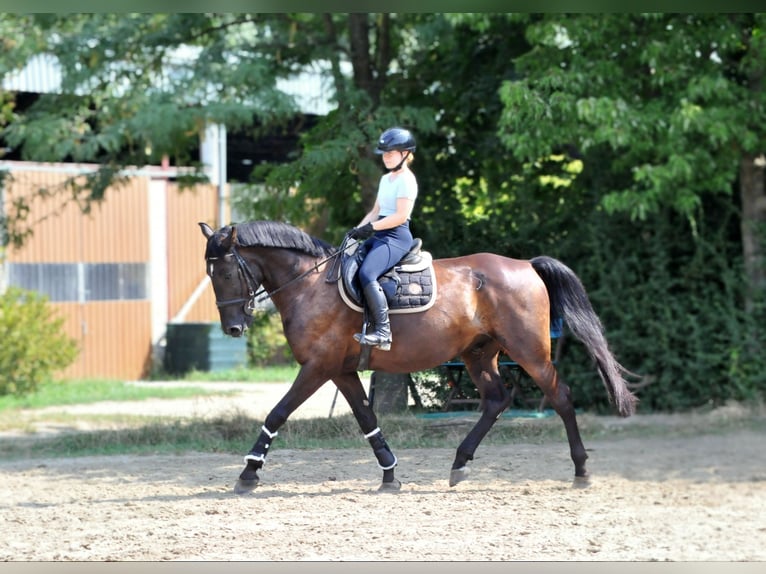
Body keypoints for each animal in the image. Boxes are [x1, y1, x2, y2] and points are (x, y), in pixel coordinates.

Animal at [201, 220, 640, 496]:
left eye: (226, 273)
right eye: (210, 275)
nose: (233, 329)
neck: (310, 284)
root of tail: (526, 266)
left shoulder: (318, 367)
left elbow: (277, 413)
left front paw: (248, 473)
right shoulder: (341, 370)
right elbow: (368, 420)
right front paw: (389, 474)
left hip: (528, 350)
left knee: (561, 396)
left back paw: (581, 470)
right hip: (478, 354)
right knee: (496, 400)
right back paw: (459, 464)